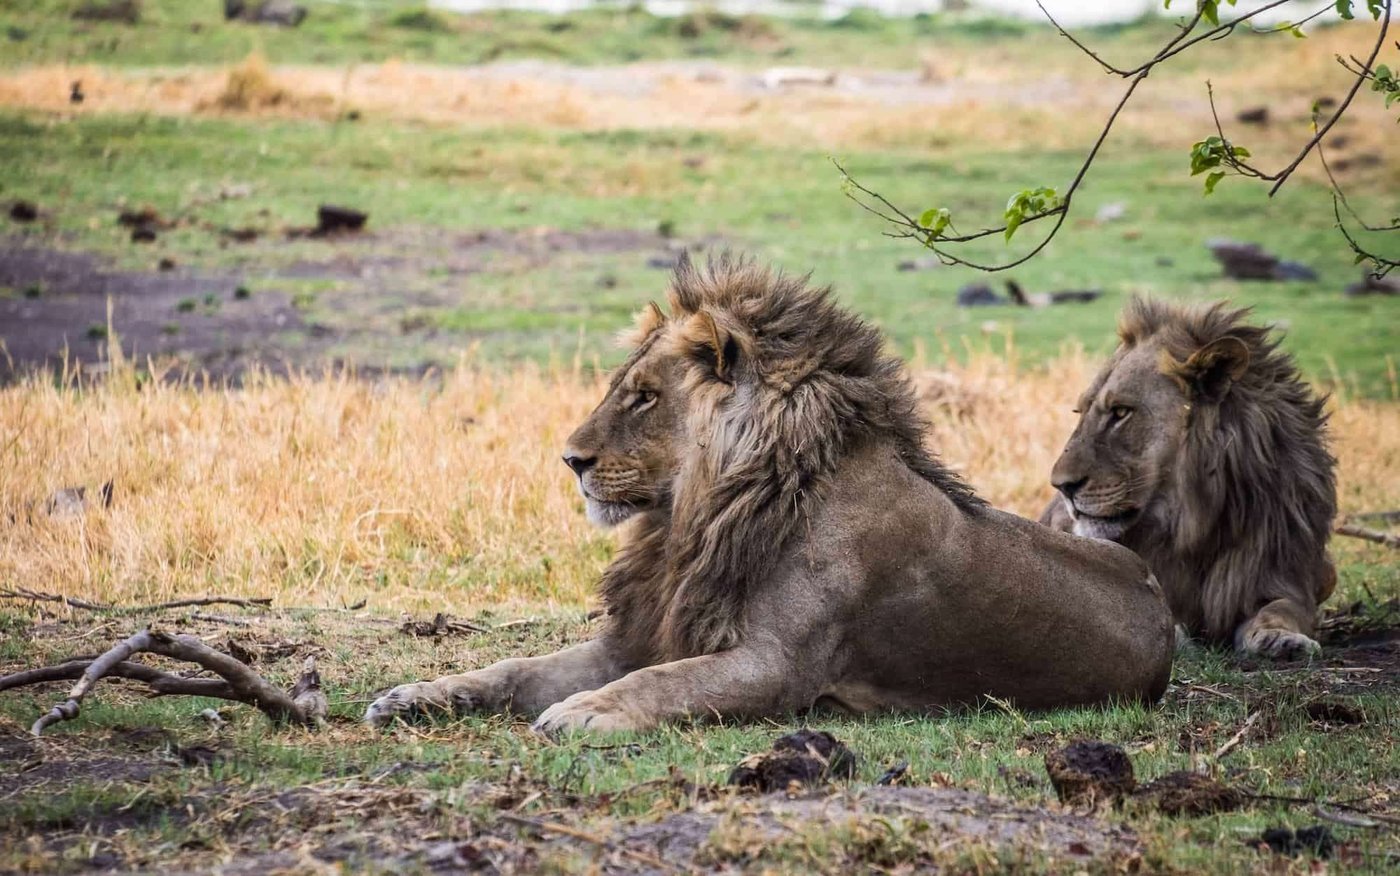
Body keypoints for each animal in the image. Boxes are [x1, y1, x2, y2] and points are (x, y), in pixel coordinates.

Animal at [366, 256, 1174, 734]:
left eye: (643, 396)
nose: (570, 460)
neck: (696, 514)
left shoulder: (777, 666)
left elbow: (666, 684)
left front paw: (584, 712)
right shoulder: (641, 635)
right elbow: (516, 669)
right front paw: (416, 696)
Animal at [1040, 296, 1337, 658]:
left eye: (1121, 412)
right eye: (1080, 412)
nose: (1061, 486)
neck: (1196, 522)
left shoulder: (1281, 574)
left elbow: (1282, 609)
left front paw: (1282, 639)